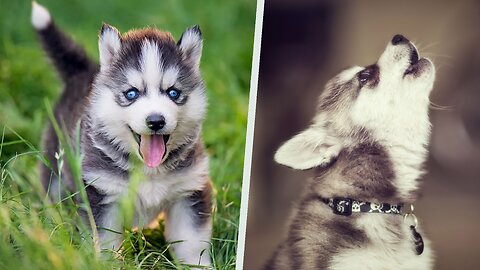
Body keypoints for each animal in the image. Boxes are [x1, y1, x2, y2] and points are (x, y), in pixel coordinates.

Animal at [32, 2, 213, 266]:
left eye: (173, 93)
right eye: (131, 94)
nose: (156, 121)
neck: (149, 170)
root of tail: (85, 72)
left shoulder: (189, 191)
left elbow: (191, 243)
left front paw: (197, 267)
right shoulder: (101, 194)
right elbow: (105, 241)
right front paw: (105, 264)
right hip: (56, 168)